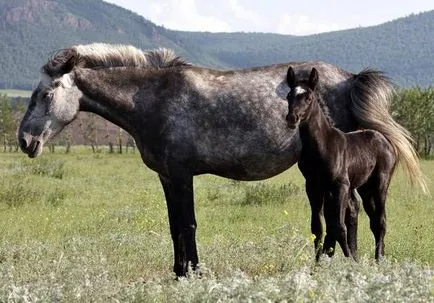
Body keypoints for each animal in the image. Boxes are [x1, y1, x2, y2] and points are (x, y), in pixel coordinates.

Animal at [17, 43, 424, 278]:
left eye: (45, 93)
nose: (25, 141)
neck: (155, 98)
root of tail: (351, 78)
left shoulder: (182, 176)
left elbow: (188, 225)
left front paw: (194, 273)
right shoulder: (168, 177)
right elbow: (174, 227)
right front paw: (178, 272)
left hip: (338, 179)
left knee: (350, 213)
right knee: (351, 214)